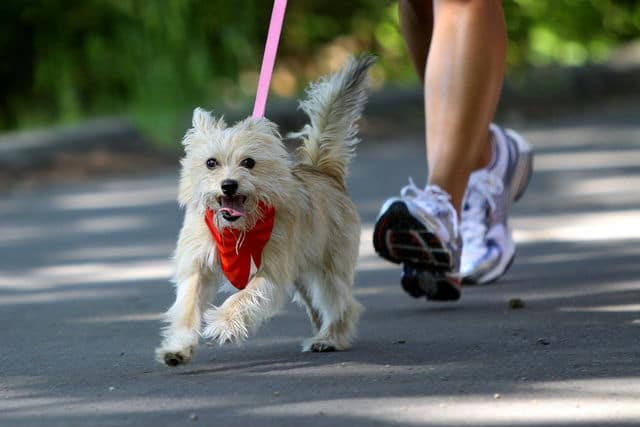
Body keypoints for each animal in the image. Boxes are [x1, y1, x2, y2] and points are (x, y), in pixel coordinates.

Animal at [156, 54, 376, 368]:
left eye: (249, 163)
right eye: (211, 163)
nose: (228, 185)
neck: (237, 230)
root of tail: (324, 171)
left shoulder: (270, 272)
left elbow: (244, 297)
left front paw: (223, 322)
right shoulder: (198, 266)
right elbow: (187, 308)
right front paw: (178, 346)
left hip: (327, 271)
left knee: (343, 304)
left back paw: (329, 337)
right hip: (303, 276)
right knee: (321, 306)